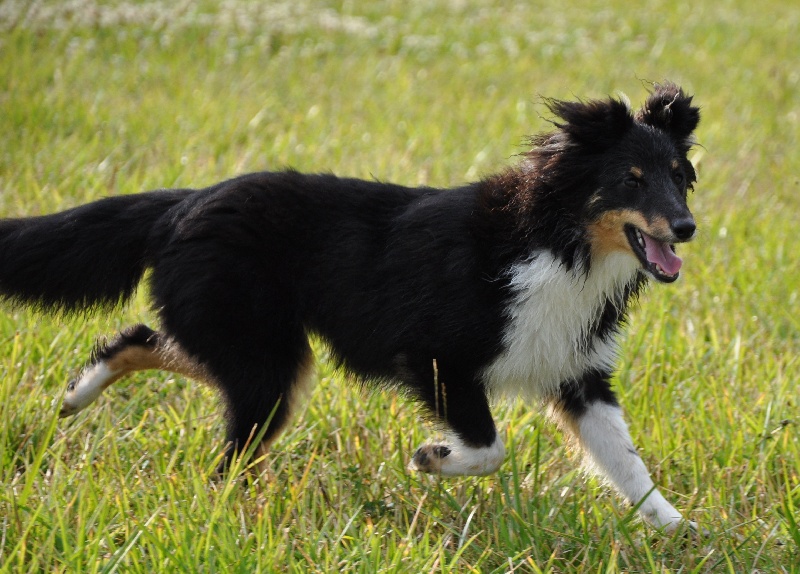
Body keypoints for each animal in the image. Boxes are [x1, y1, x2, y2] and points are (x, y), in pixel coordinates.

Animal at [0, 83, 700, 532]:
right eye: (631, 178)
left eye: (677, 174)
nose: (688, 228)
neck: (559, 241)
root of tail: (186, 201)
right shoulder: (436, 355)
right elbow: (490, 446)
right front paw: (431, 458)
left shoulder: (577, 370)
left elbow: (626, 461)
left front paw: (678, 528)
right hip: (264, 360)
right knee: (228, 457)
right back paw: (235, 514)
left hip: (256, 345)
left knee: (147, 338)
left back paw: (76, 395)